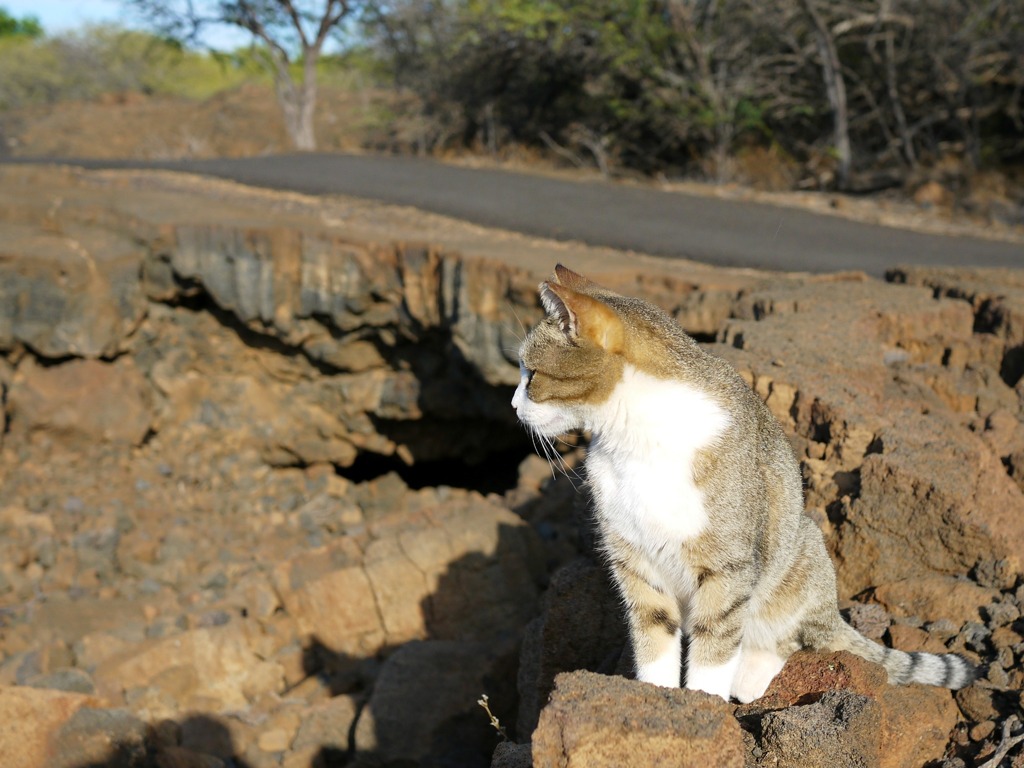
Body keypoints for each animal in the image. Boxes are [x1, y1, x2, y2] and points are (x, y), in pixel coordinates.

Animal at [512, 264, 974, 704]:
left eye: (531, 374)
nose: (514, 406)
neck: (634, 437)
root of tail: (832, 611)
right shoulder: (636, 561)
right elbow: (654, 637)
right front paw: (656, 696)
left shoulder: (727, 567)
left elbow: (715, 645)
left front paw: (704, 702)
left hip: (799, 553)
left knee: (790, 636)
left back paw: (752, 674)